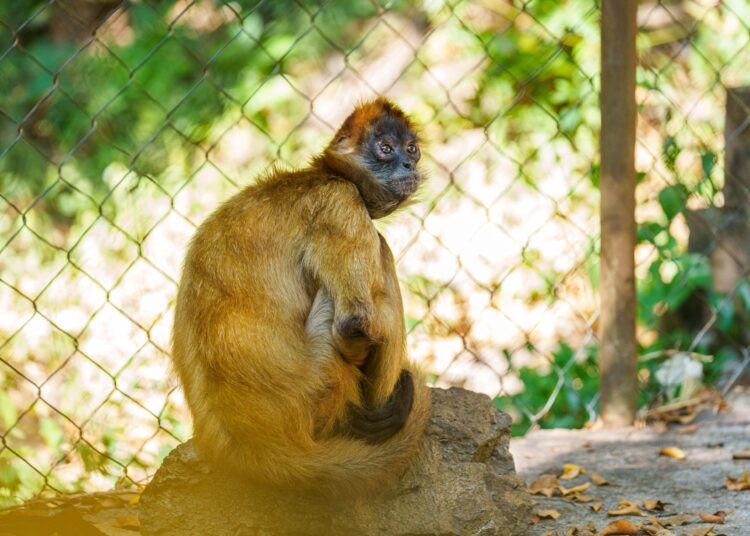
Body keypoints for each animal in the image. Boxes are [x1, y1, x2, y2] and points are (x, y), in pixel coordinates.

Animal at [171, 97, 431, 497]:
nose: (407, 163)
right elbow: (353, 324)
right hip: (320, 382)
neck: (324, 175)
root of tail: (259, 450)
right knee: (381, 253)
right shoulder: (340, 202)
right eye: (385, 149)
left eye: (411, 148)